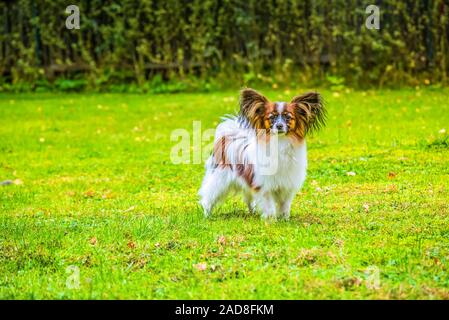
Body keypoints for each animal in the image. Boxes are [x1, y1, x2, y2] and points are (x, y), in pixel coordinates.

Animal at [199, 87, 326, 220]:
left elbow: (284, 205)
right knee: (208, 198)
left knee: (249, 200)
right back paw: (207, 215)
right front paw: (271, 220)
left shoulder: (287, 185)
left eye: (288, 118)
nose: (279, 126)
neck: (280, 143)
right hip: (219, 180)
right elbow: (269, 205)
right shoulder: (264, 186)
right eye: (272, 118)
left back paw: (252, 212)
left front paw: (284, 219)